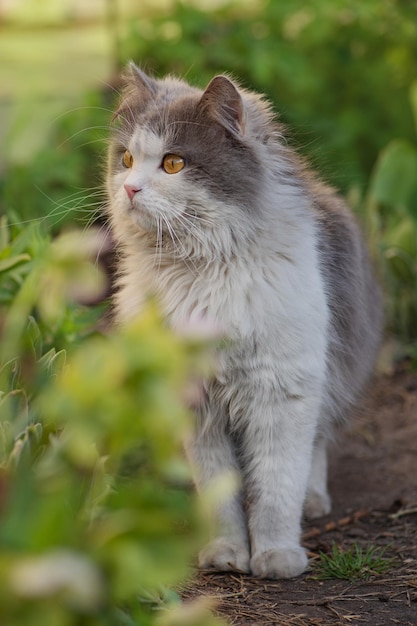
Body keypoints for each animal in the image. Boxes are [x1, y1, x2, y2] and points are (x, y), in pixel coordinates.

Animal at [105, 63, 382, 576]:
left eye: (173, 164)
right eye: (127, 159)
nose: (130, 189)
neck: (201, 271)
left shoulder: (283, 391)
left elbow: (276, 488)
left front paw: (276, 557)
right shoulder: (198, 406)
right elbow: (220, 497)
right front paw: (227, 554)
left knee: (315, 447)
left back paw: (314, 502)